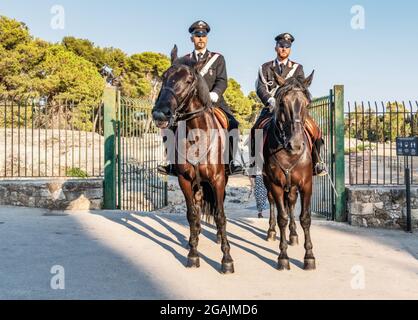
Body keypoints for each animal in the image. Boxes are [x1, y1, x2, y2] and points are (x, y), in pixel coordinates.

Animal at [152, 45, 235, 276]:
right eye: (164, 77)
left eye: (189, 80)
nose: (160, 113)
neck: (197, 136)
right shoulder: (185, 180)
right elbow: (191, 215)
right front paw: (193, 254)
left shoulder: (217, 180)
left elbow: (221, 216)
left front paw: (226, 258)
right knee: (198, 211)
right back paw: (193, 239)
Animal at [262, 72, 316, 270]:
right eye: (282, 104)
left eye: (307, 104)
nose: (296, 144)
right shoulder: (276, 184)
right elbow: (282, 218)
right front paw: (283, 257)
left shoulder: (306, 185)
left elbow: (305, 218)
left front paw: (309, 256)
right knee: (272, 202)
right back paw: (271, 231)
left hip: (292, 186)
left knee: (291, 202)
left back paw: (294, 234)